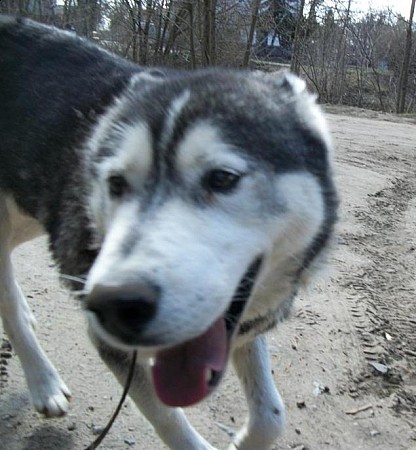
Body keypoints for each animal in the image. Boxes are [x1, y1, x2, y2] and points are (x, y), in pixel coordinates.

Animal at [0, 16, 338, 450]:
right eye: (116, 183)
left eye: (222, 178)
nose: (114, 303)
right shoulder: (112, 342)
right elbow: (166, 416)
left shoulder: (244, 324)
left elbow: (271, 416)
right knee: (7, 298)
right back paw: (43, 382)